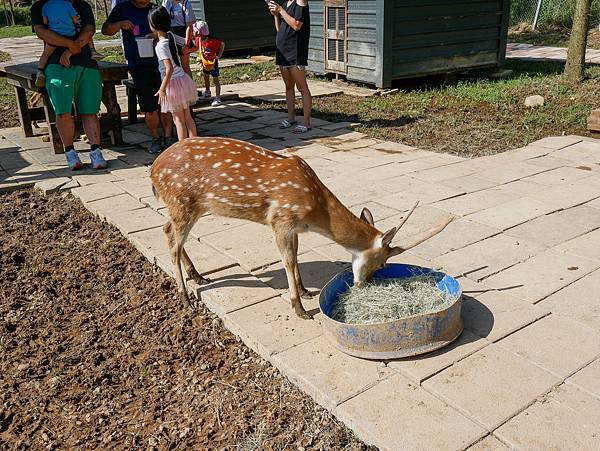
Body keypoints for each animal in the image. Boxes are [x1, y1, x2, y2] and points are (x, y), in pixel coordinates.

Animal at [149, 137, 450, 318]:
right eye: (381, 262)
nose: (363, 284)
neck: (314, 210)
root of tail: (153, 171)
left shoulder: (294, 228)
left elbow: (294, 257)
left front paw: (305, 291)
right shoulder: (280, 219)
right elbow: (287, 260)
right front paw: (300, 309)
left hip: (188, 207)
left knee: (166, 229)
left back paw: (198, 276)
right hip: (182, 201)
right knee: (173, 240)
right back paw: (185, 296)